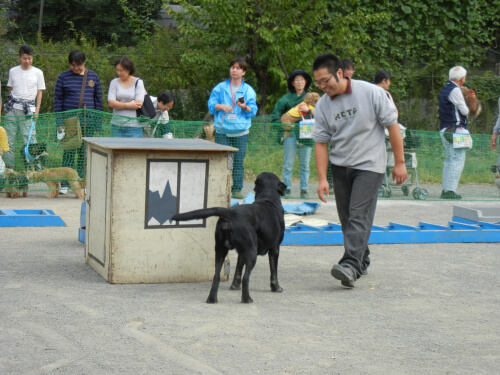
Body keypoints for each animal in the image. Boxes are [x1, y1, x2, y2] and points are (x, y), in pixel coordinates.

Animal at [172, 173, 288, 306]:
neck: (268, 198)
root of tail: (230, 212)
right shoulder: (275, 249)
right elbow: (273, 272)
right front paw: (276, 288)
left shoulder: (242, 253)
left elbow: (238, 270)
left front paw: (234, 286)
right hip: (251, 253)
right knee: (246, 277)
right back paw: (247, 299)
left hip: (221, 250)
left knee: (216, 276)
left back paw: (212, 299)